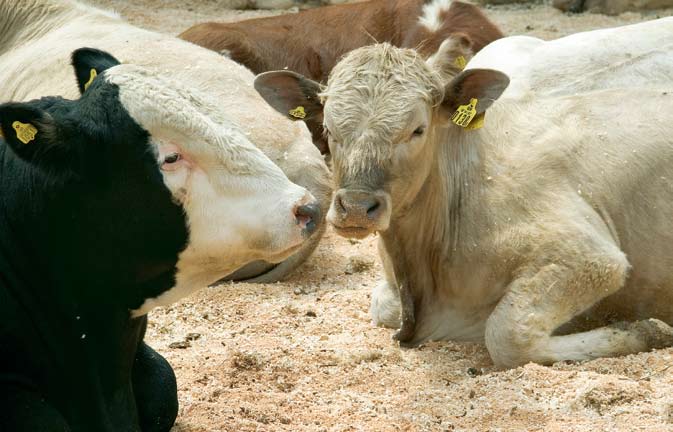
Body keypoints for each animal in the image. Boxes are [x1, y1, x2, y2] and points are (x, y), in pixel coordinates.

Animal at [253, 17, 673, 368]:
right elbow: (381, 304)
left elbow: (505, 335)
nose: (356, 207)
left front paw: (645, 330)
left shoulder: (590, 256)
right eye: (328, 128)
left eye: (418, 129)